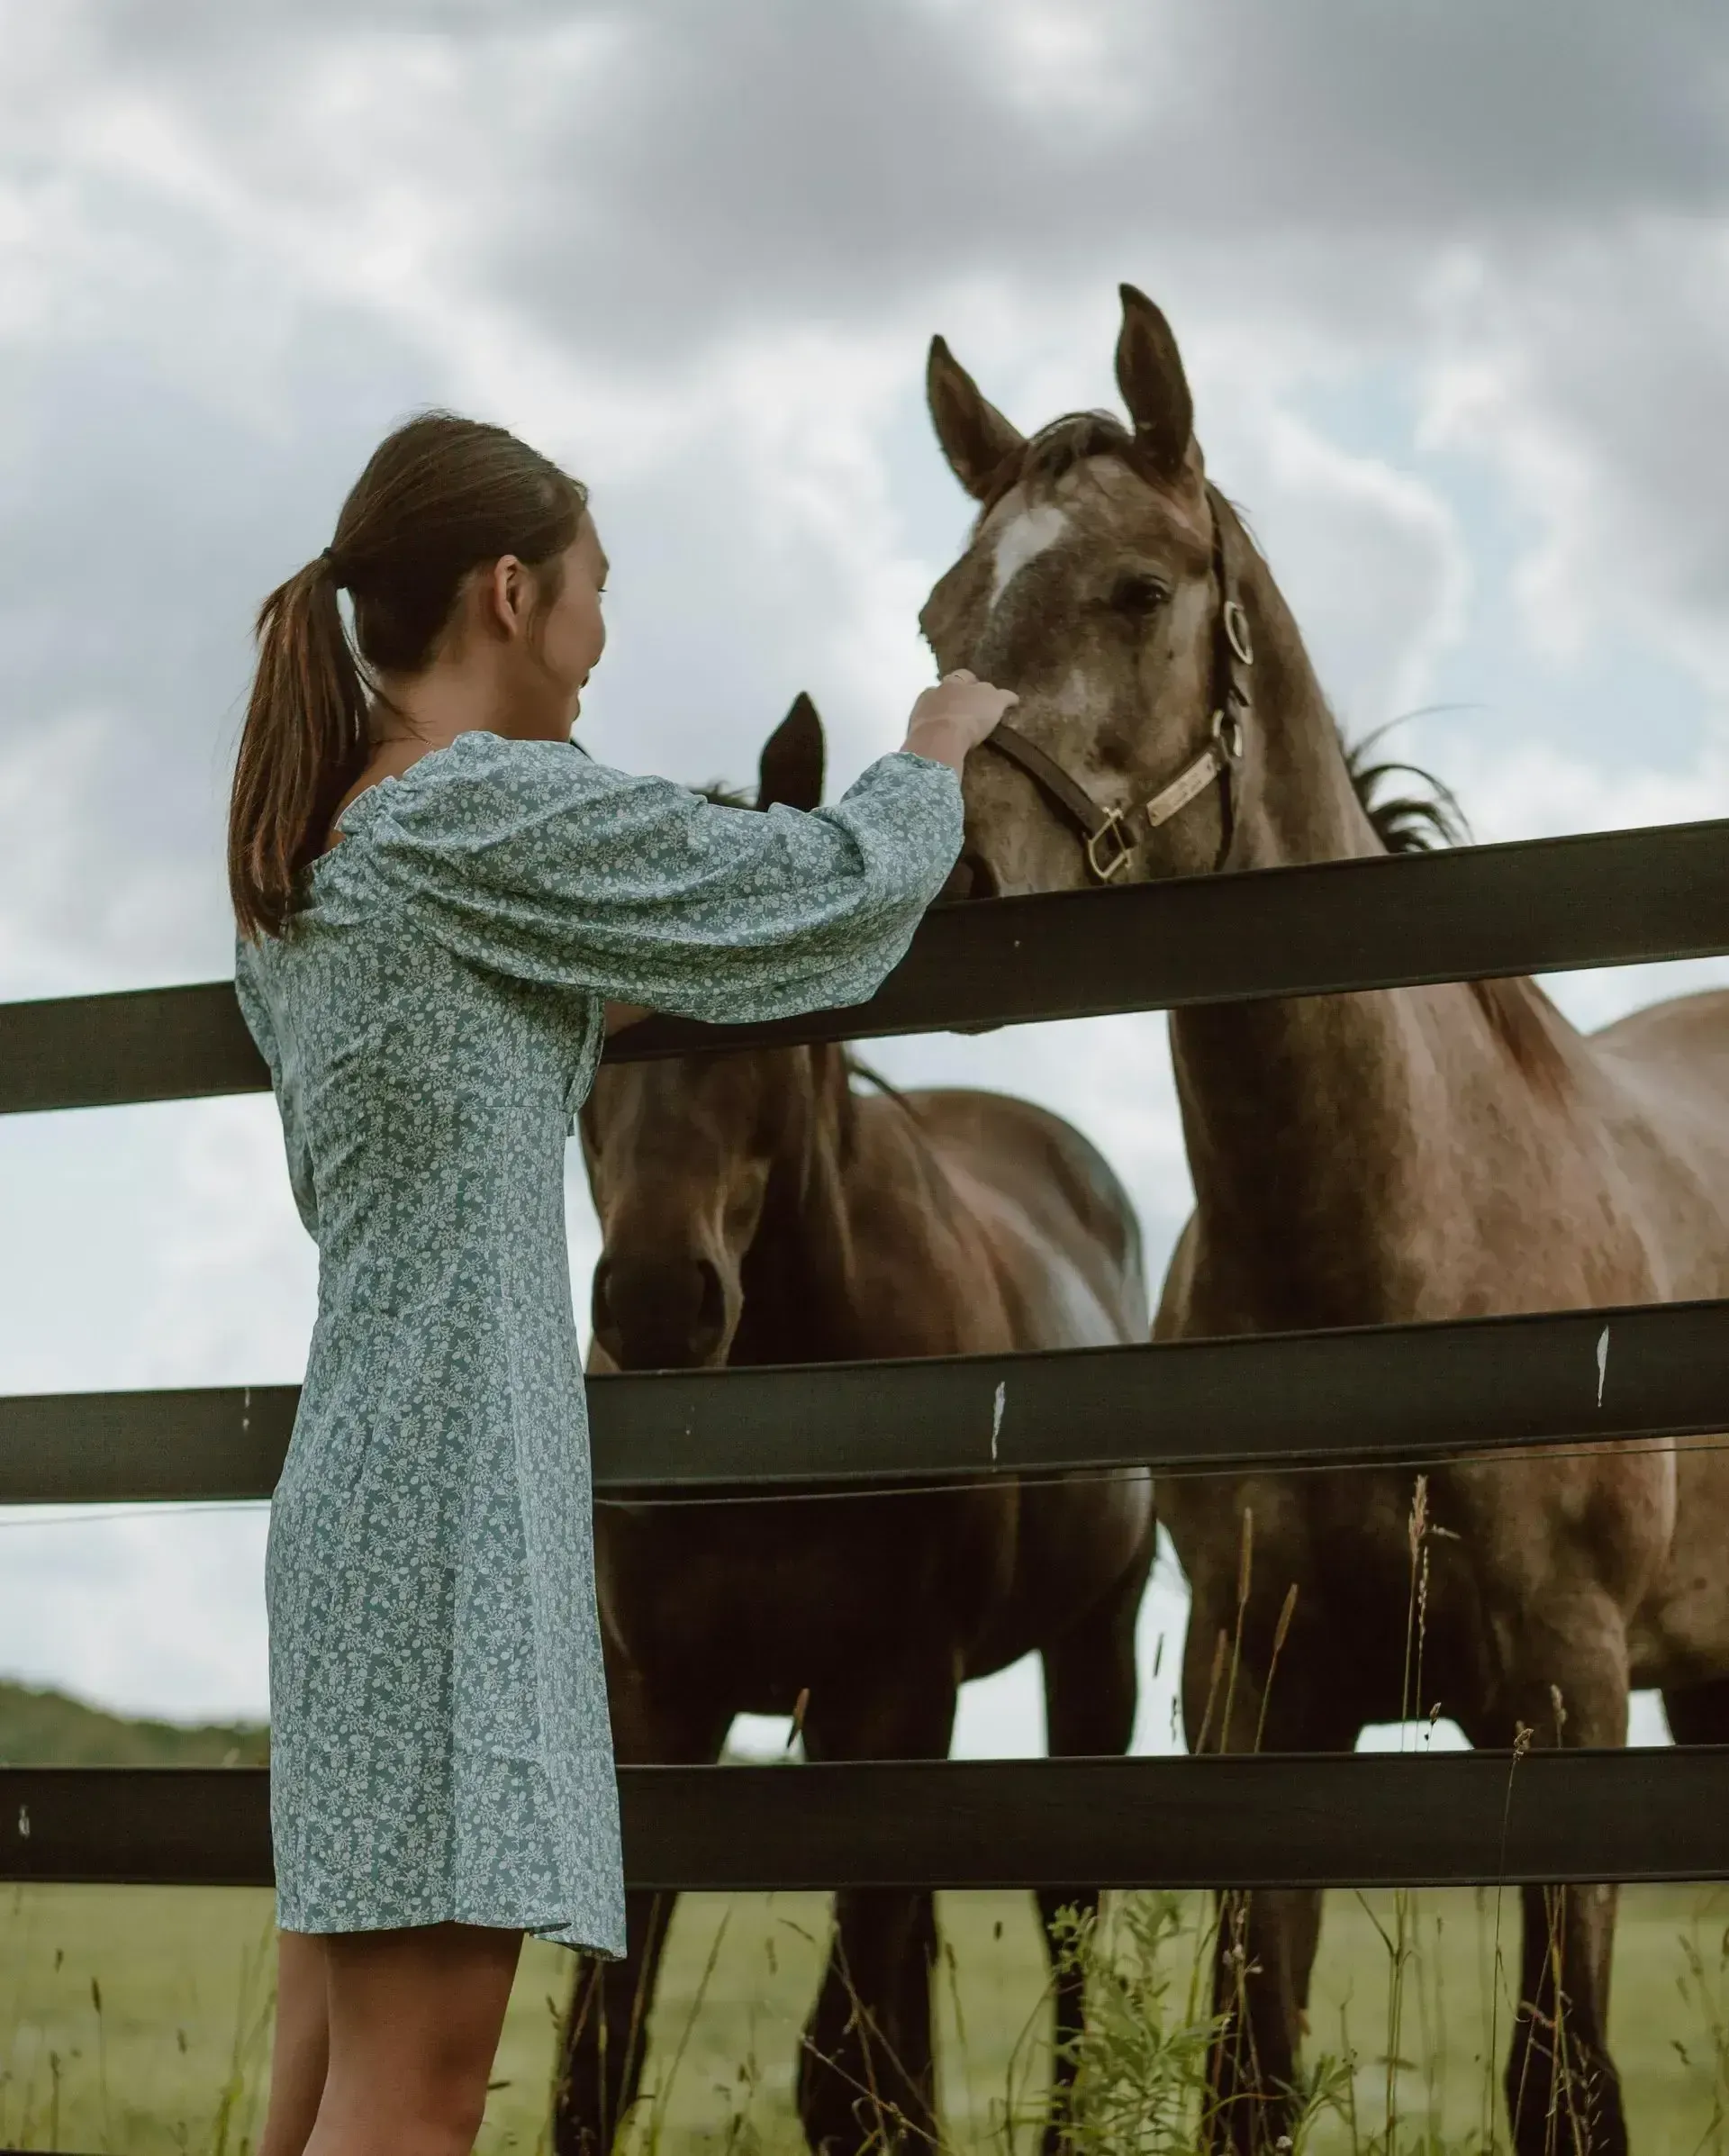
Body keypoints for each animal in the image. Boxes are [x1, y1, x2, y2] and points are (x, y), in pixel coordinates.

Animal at [555, 693, 1158, 2156]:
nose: (654, 1302)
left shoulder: (893, 1690)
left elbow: (867, 2063)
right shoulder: (661, 1704)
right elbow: (602, 2048)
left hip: (1088, 1651)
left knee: (1061, 1931)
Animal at [916, 284, 1729, 2155]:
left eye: (1138, 591)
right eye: (940, 610)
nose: (946, 883)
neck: (1390, 1268)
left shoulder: (1569, 1703)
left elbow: (1561, 2083)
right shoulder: (1254, 1700)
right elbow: (1251, 2066)